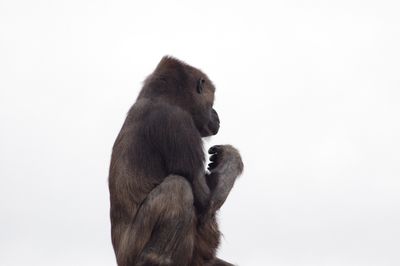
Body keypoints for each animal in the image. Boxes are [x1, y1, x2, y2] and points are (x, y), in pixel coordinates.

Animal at [108, 56, 242, 266]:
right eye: (211, 102)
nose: (216, 114)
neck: (159, 97)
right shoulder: (177, 121)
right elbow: (206, 202)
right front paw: (232, 156)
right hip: (130, 255)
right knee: (178, 187)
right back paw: (154, 259)